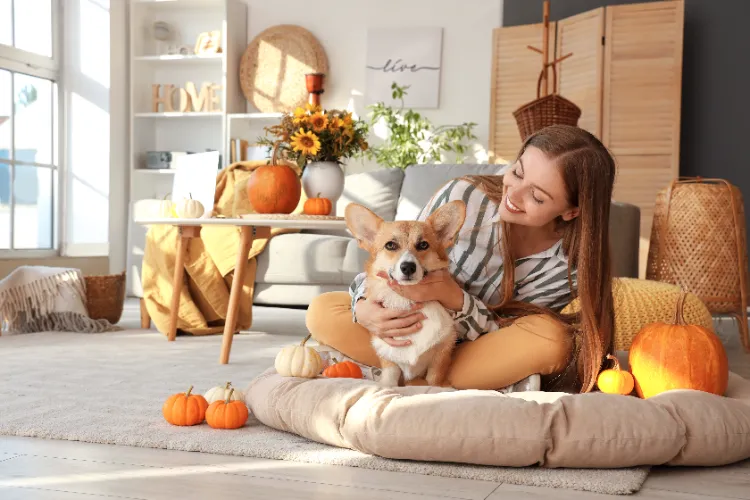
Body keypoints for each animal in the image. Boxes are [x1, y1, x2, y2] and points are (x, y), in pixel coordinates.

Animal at [348, 199, 468, 386]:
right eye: (390, 245)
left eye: (423, 245)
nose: (408, 267)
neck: (405, 300)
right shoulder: (388, 358)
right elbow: (389, 378)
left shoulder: (440, 356)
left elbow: (433, 382)